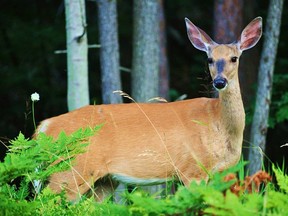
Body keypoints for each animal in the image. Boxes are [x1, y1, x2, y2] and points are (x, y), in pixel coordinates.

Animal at [35, 16, 262, 201]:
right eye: (209, 59)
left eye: (234, 58)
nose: (219, 82)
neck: (219, 123)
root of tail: (44, 126)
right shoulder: (192, 170)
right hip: (69, 170)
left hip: (103, 181)